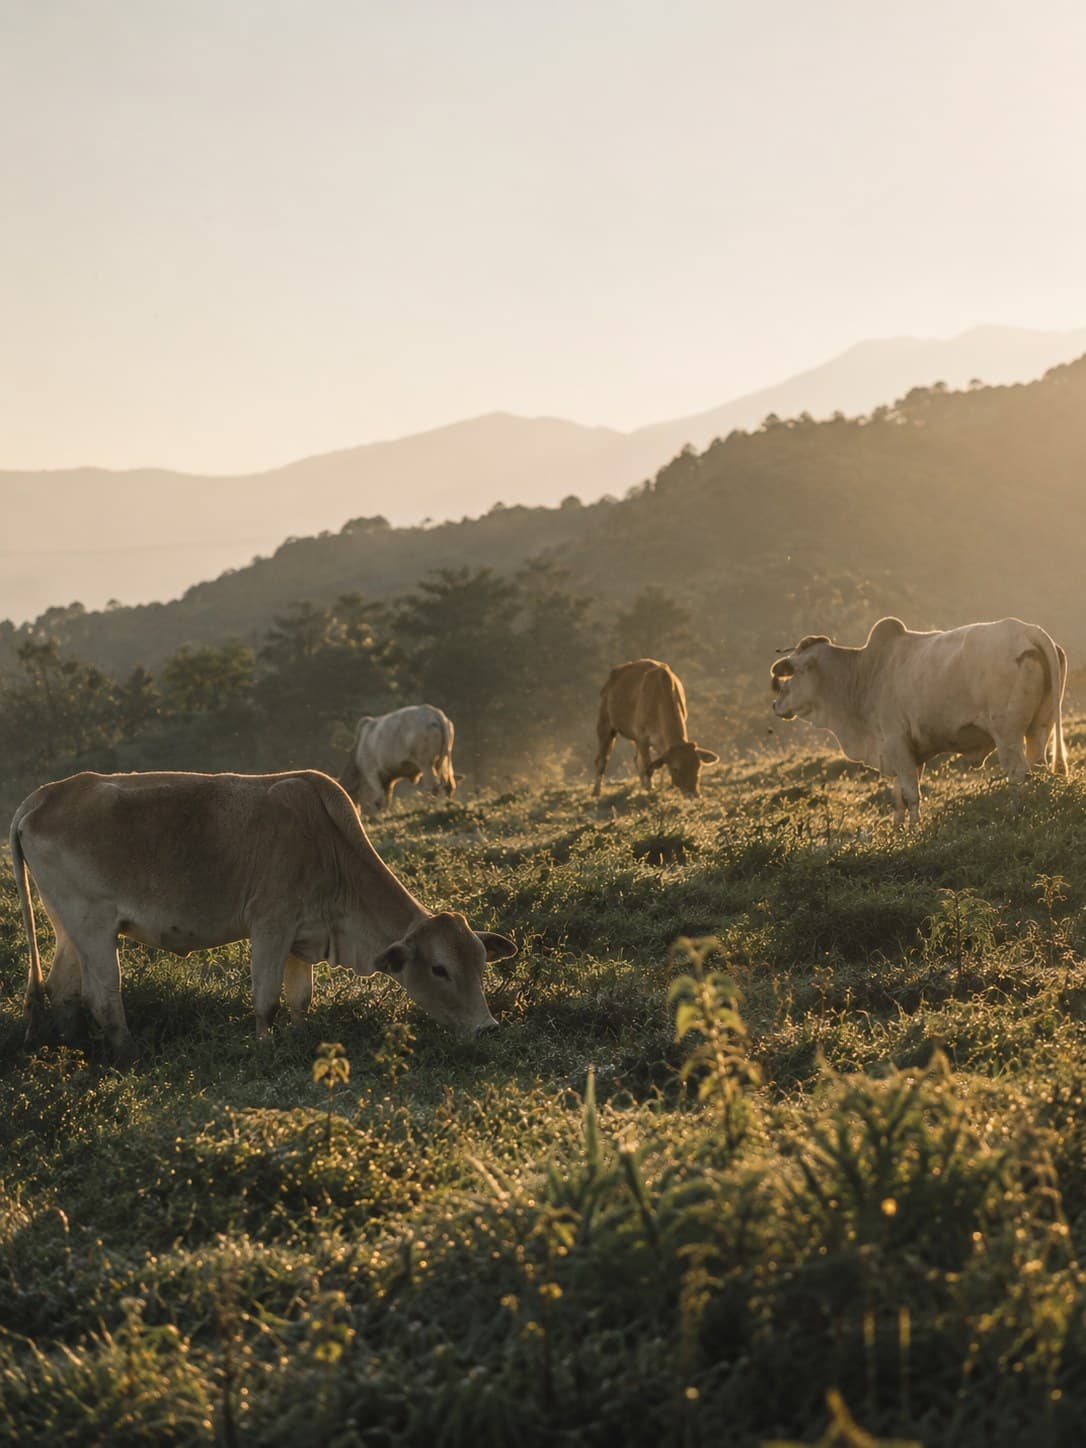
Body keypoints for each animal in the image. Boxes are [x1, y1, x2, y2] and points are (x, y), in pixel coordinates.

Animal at [10, 768, 517, 1065]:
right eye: (440, 969)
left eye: (480, 962)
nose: (487, 1027)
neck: (329, 844)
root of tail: (42, 795)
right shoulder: (271, 925)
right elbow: (266, 1000)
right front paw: (265, 1050)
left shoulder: (301, 937)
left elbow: (300, 1000)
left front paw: (300, 1038)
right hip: (93, 924)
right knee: (103, 995)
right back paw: (128, 1056)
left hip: (66, 926)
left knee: (62, 988)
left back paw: (72, 1052)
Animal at [593, 659, 719, 798]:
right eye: (675, 769)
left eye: (698, 766)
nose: (693, 794)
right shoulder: (642, 737)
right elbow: (648, 765)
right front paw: (650, 789)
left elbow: (658, 764)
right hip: (605, 723)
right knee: (602, 760)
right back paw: (596, 792)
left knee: (635, 759)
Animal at [770, 616, 1069, 827]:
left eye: (795, 672)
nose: (776, 704)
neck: (864, 675)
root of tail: (1029, 630)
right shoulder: (908, 752)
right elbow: (900, 796)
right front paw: (898, 829)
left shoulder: (895, 741)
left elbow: (911, 794)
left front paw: (914, 831)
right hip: (1039, 728)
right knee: (1038, 766)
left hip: (1008, 734)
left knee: (1018, 773)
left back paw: (1015, 812)